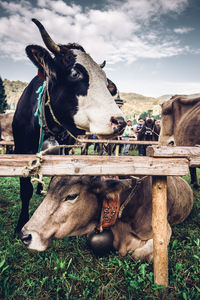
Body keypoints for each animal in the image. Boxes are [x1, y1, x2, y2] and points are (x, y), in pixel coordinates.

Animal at [12, 18, 125, 233]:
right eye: (74, 73)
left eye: (105, 81)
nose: (120, 121)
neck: (49, 126)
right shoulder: (22, 150)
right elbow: (25, 190)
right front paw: (21, 222)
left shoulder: (65, 151)